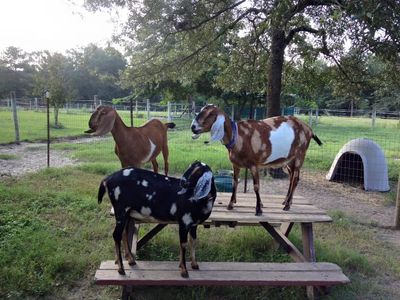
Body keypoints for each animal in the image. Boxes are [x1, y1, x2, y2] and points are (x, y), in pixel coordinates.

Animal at [191, 104, 322, 214]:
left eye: (210, 114)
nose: (193, 127)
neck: (238, 136)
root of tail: (309, 130)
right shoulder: (235, 165)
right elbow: (234, 183)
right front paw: (231, 204)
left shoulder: (254, 165)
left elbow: (256, 186)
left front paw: (258, 209)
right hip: (289, 160)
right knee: (292, 177)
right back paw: (286, 201)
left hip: (300, 155)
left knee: (295, 179)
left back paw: (287, 206)